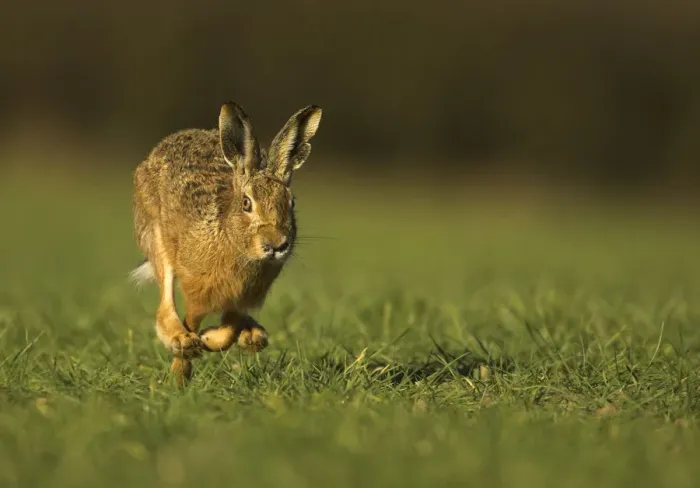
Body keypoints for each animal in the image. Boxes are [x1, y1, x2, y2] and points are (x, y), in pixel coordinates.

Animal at [131, 101, 322, 385]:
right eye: (246, 203)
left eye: (292, 203)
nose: (276, 245)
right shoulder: (196, 289)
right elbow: (191, 320)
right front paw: (183, 366)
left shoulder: (241, 297)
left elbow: (229, 329)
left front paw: (210, 339)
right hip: (155, 238)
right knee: (165, 302)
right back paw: (182, 343)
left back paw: (252, 334)